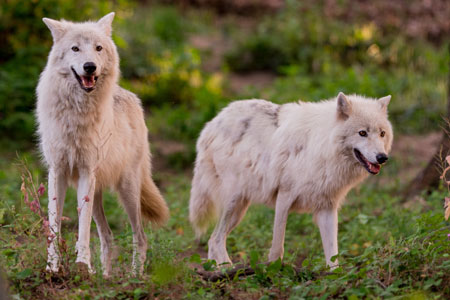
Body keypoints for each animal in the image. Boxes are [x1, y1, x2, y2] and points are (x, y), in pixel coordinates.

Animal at [35, 12, 169, 276]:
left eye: (98, 48)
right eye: (75, 48)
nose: (90, 66)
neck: (77, 112)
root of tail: (132, 97)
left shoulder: (87, 171)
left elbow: (83, 230)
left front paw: (82, 266)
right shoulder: (57, 171)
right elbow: (54, 225)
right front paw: (52, 267)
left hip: (127, 190)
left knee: (140, 237)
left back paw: (134, 277)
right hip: (97, 194)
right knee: (108, 238)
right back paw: (105, 276)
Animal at [188, 93, 392, 268]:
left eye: (382, 133)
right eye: (362, 133)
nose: (382, 157)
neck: (322, 146)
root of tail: (212, 124)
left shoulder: (327, 207)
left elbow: (333, 253)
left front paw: (335, 277)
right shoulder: (284, 197)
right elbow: (278, 245)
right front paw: (273, 271)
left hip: (240, 210)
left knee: (212, 240)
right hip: (234, 202)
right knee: (216, 239)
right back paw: (227, 270)